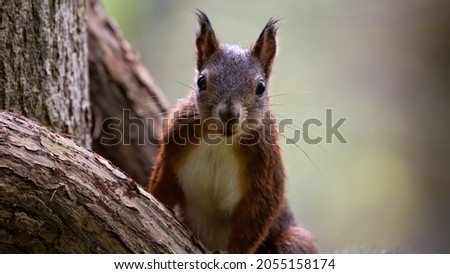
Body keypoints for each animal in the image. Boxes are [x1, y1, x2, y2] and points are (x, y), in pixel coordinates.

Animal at [148, 10, 316, 255]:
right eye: (201, 81)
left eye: (261, 87)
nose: (229, 115)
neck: (221, 141)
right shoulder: (172, 151)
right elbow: (162, 187)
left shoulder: (266, 174)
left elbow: (253, 222)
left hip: (294, 241)